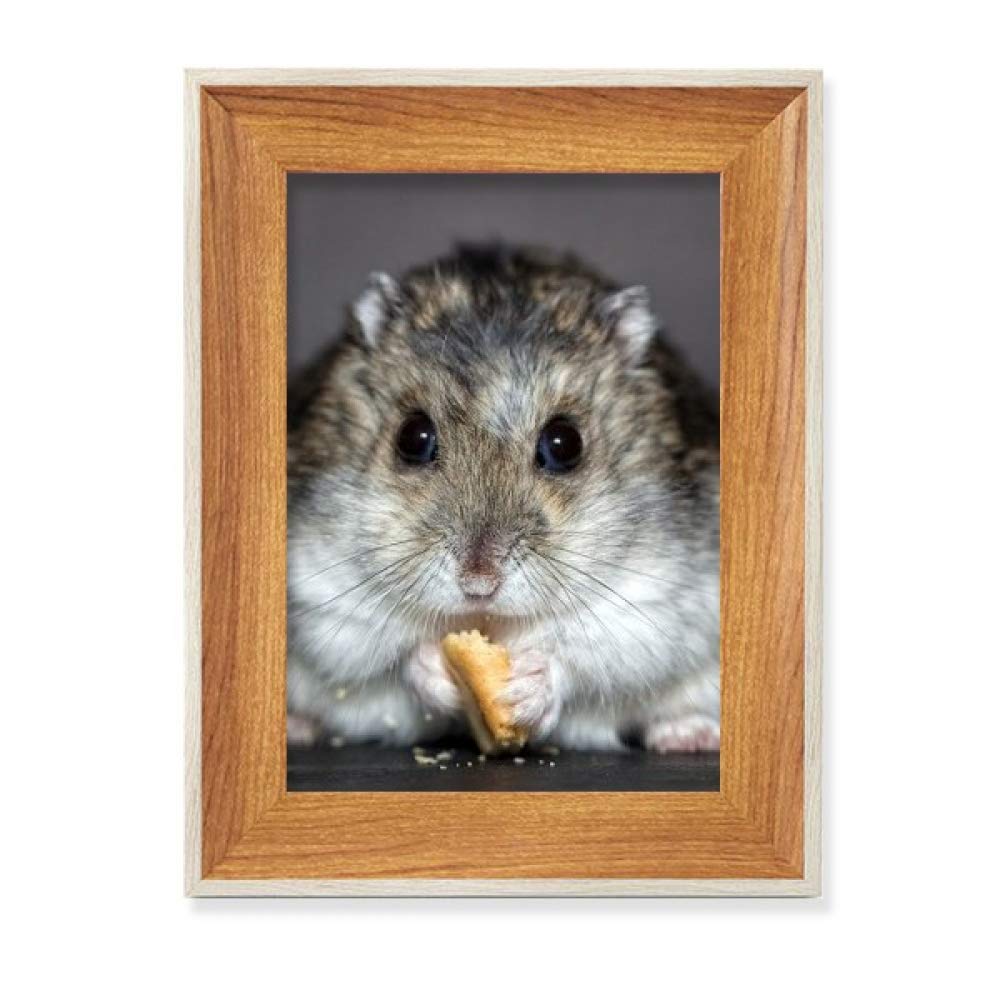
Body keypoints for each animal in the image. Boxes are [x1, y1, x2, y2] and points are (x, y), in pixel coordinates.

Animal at [287, 244, 719, 753]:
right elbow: (393, 660)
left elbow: (582, 658)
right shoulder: (324, 598)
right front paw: (437, 669)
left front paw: (525, 689)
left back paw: (689, 735)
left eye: (564, 444)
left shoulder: (653, 605)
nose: (478, 585)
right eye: (412, 438)